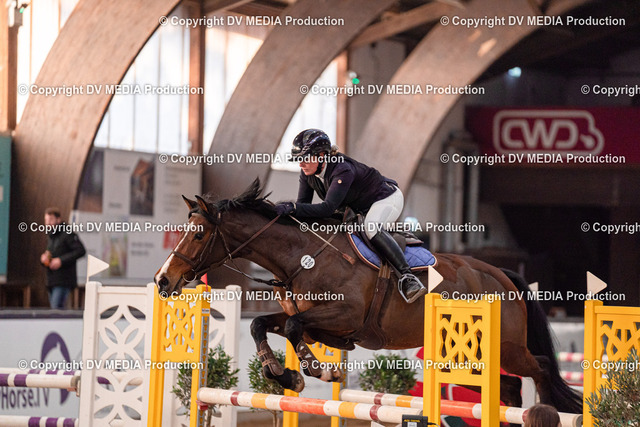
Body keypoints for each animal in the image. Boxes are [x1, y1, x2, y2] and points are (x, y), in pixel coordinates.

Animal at [154, 178, 582, 413]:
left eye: (197, 234)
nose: (162, 281)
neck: (301, 257)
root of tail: (500, 276)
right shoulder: (321, 324)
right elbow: (263, 323)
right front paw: (282, 373)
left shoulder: (343, 316)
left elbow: (292, 328)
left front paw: (316, 369)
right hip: (467, 357)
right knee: (507, 388)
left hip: (507, 348)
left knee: (542, 368)